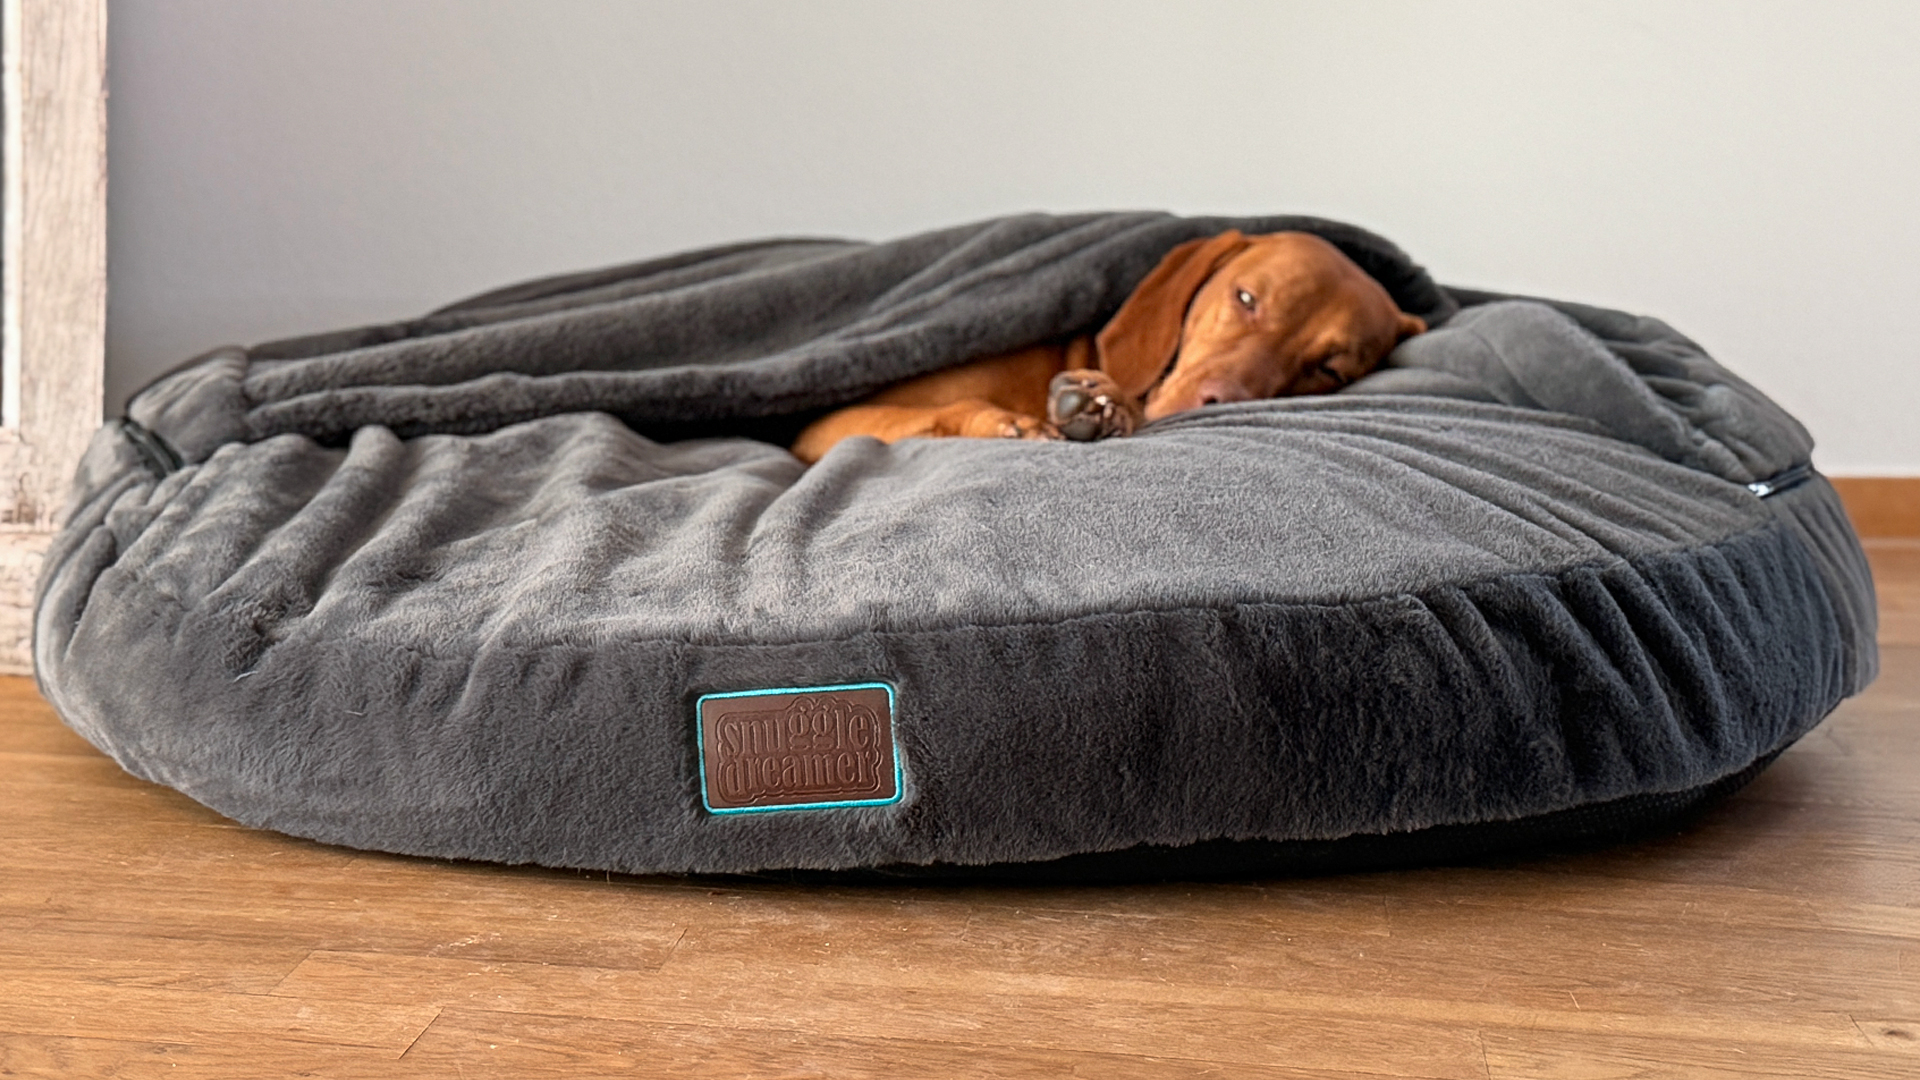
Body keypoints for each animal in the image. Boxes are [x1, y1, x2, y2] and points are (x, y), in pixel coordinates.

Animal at [789, 230, 1426, 464]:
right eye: (1246, 298)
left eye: (1329, 370)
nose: (1215, 401)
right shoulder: (824, 426)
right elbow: (956, 410)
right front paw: (1009, 423)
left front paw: (1106, 405)